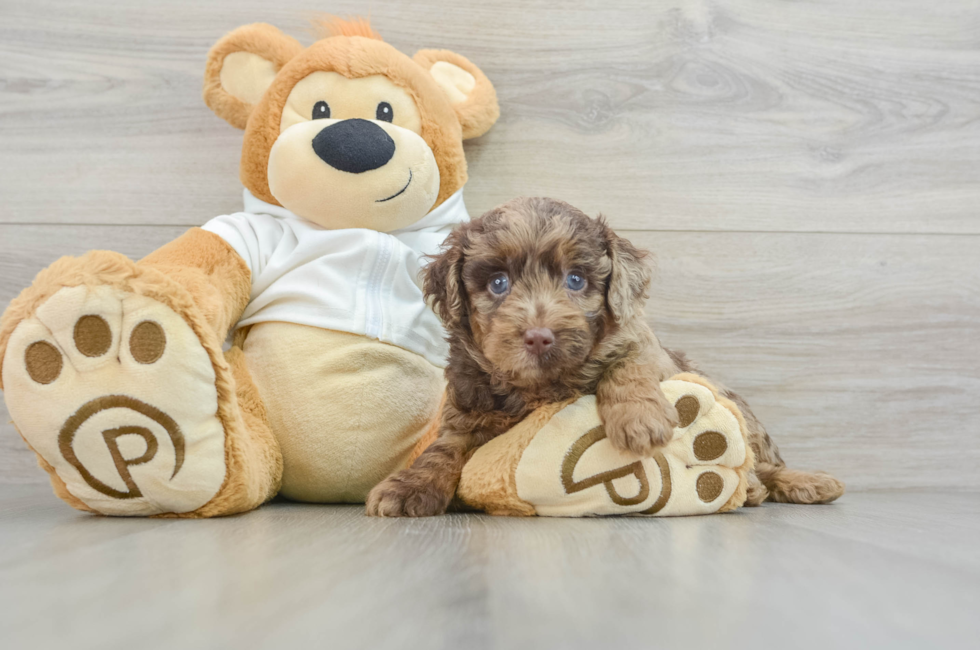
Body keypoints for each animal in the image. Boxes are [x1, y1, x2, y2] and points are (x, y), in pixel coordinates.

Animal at [364, 195, 848, 512]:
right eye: (498, 283)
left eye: (575, 280)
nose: (539, 337)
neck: (541, 386)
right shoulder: (466, 410)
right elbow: (443, 450)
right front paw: (407, 487)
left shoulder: (643, 345)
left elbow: (627, 366)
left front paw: (639, 420)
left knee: (762, 465)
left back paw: (797, 483)